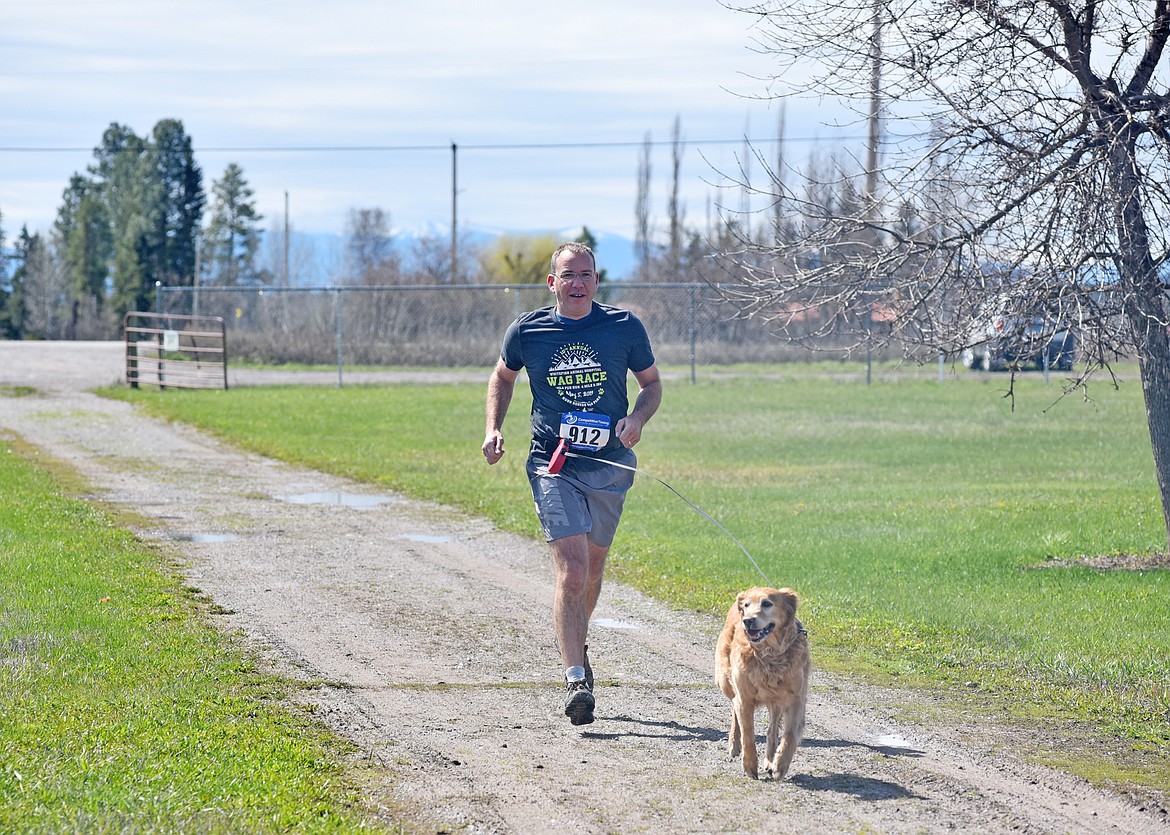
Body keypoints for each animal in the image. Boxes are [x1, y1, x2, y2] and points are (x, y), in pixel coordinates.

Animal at [716, 582, 809, 776]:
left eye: (767, 603)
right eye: (746, 605)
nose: (748, 620)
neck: (769, 654)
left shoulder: (795, 698)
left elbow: (789, 735)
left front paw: (780, 764)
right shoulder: (744, 697)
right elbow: (747, 733)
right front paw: (750, 765)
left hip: (776, 701)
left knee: (772, 730)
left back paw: (769, 760)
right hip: (724, 682)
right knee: (734, 709)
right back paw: (734, 744)